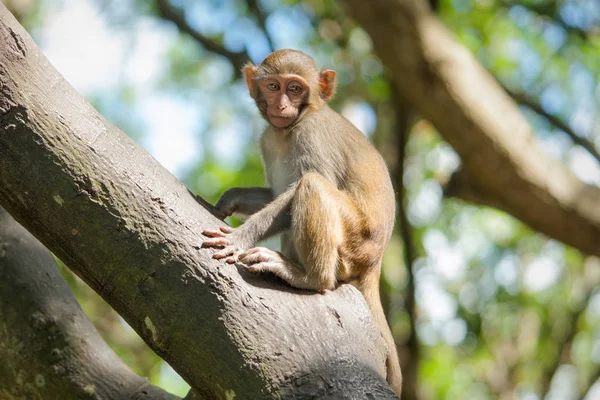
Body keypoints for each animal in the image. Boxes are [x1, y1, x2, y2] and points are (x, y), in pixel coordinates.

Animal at [203, 49, 404, 394]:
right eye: (273, 86)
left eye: (295, 88)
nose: (282, 105)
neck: (289, 129)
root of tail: (375, 262)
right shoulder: (268, 138)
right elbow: (276, 194)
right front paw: (228, 199)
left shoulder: (312, 136)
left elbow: (298, 190)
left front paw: (239, 238)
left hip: (356, 242)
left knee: (312, 185)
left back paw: (309, 277)